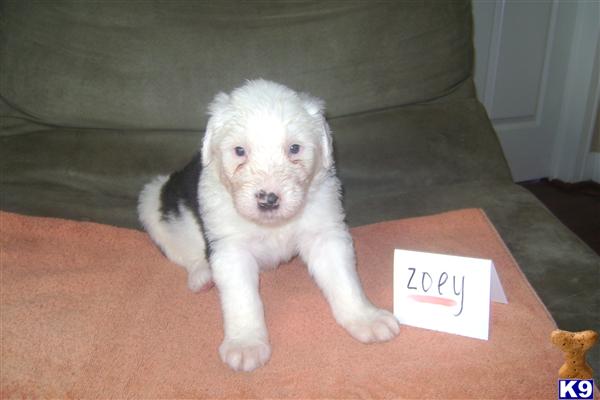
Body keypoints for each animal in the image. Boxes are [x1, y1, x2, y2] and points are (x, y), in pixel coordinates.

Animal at [138, 79, 400, 374]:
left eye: (294, 148)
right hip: (152, 200)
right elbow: (242, 299)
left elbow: (344, 280)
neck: (274, 224)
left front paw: (365, 318)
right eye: (240, 151)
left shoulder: (325, 232)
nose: (268, 199)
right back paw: (202, 276)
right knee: (183, 252)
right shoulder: (231, 249)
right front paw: (245, 344)